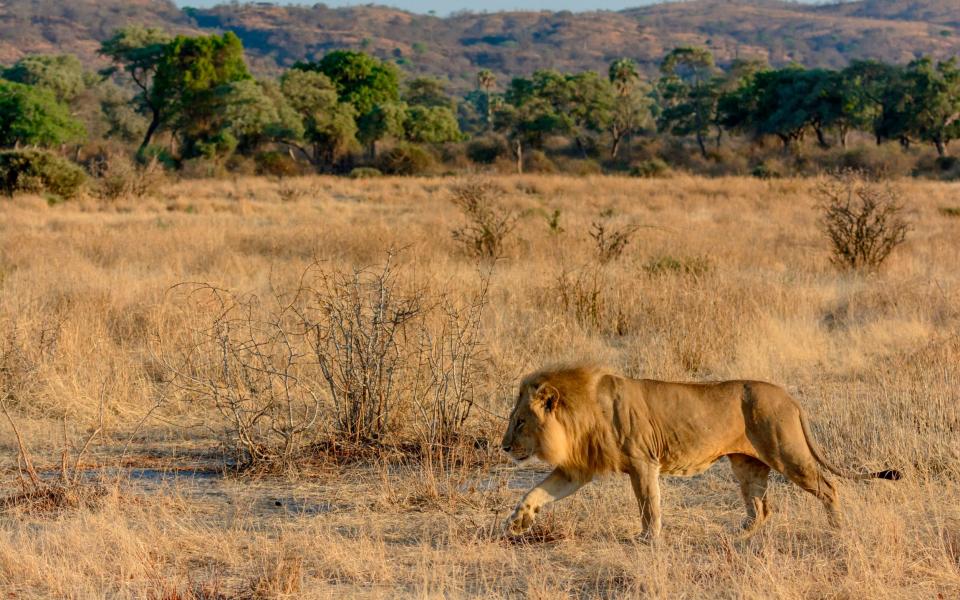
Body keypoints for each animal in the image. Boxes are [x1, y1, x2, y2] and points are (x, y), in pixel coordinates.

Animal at [502, 364, 900, 540]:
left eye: (520, 422)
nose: (504, 447)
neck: (579, 412)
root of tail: (790, 397)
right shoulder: (578, 468)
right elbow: (536, 492)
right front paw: (517, 522)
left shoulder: (643, 461)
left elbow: (649, 505)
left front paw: (648, 539)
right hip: (747, 465)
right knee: (762, 507)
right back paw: (739, 536)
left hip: (786, 452)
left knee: (829, 486)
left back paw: (837, 530)